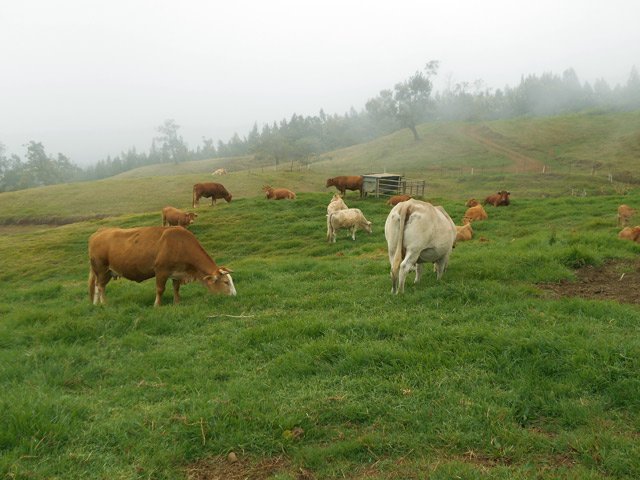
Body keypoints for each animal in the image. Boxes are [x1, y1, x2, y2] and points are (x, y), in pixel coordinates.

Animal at [88, 226, 236, 306]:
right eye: (225, 282)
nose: (235, 296)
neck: (180, 244)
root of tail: (100, 231)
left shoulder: (177, 272)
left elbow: (176, 288)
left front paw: (177, 302)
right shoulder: (161, 271)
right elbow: (160, 289)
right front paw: (157, 305)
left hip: (104, 272)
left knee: (97, 286)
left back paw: (96, 304)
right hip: (102, 269)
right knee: (100, 287)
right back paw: (104, 303)